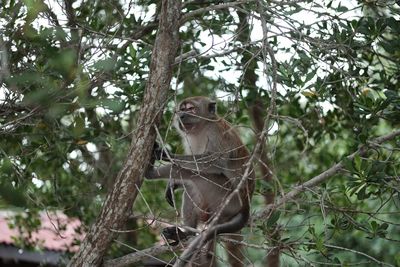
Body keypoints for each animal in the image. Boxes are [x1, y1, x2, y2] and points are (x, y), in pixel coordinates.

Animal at [145, 97, 255, 267]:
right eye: (181, 109)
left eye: (190, 109)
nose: (181, 116)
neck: (200, 128)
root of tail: (246, 205)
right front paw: (173, 183)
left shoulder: (216, 133)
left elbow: (213, 163)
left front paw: (166, 154)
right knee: (190, 186)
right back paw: (184, 234)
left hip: (227, 198)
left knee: (195, 174)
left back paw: (149, 173)